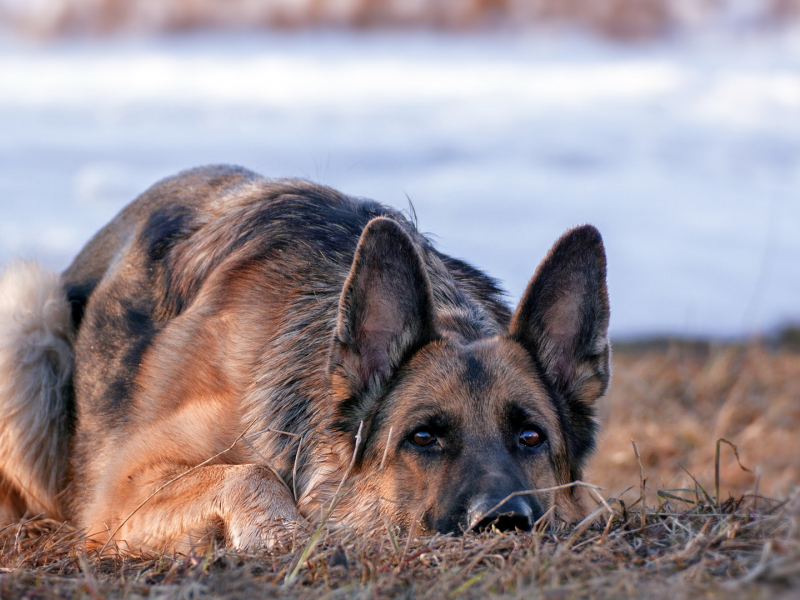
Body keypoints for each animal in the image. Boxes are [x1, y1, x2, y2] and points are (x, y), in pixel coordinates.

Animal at [0, 166, 608, 556]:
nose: (503, 522)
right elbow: (250, 474)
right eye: (423, 438)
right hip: (26, 313)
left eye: (531, 437)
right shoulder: (119, 494)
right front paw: (286, 538)